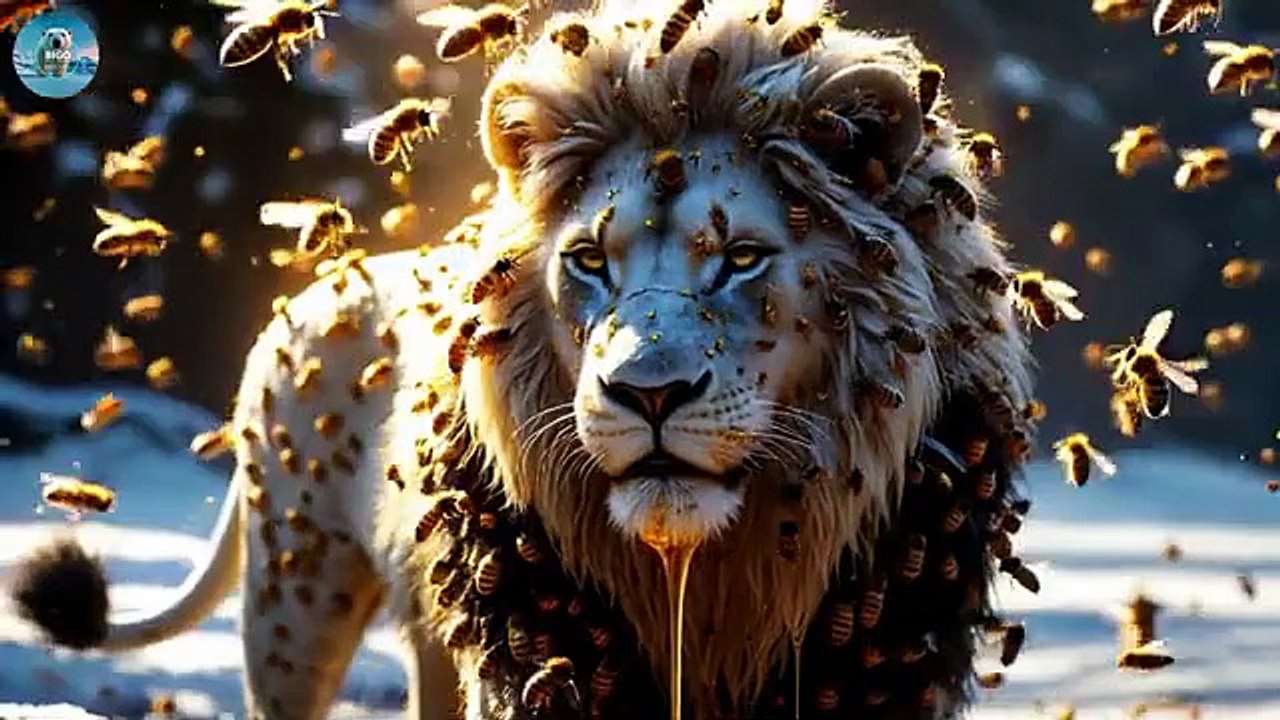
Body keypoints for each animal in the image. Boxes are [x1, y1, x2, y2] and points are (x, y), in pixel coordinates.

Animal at [11, 1, 1039, 718]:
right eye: (588, 261)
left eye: (742, 257)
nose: (646, 394)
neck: (724, 571)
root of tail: (310, 292)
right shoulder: (553, 656)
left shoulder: (876, 657)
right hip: (293, 594)